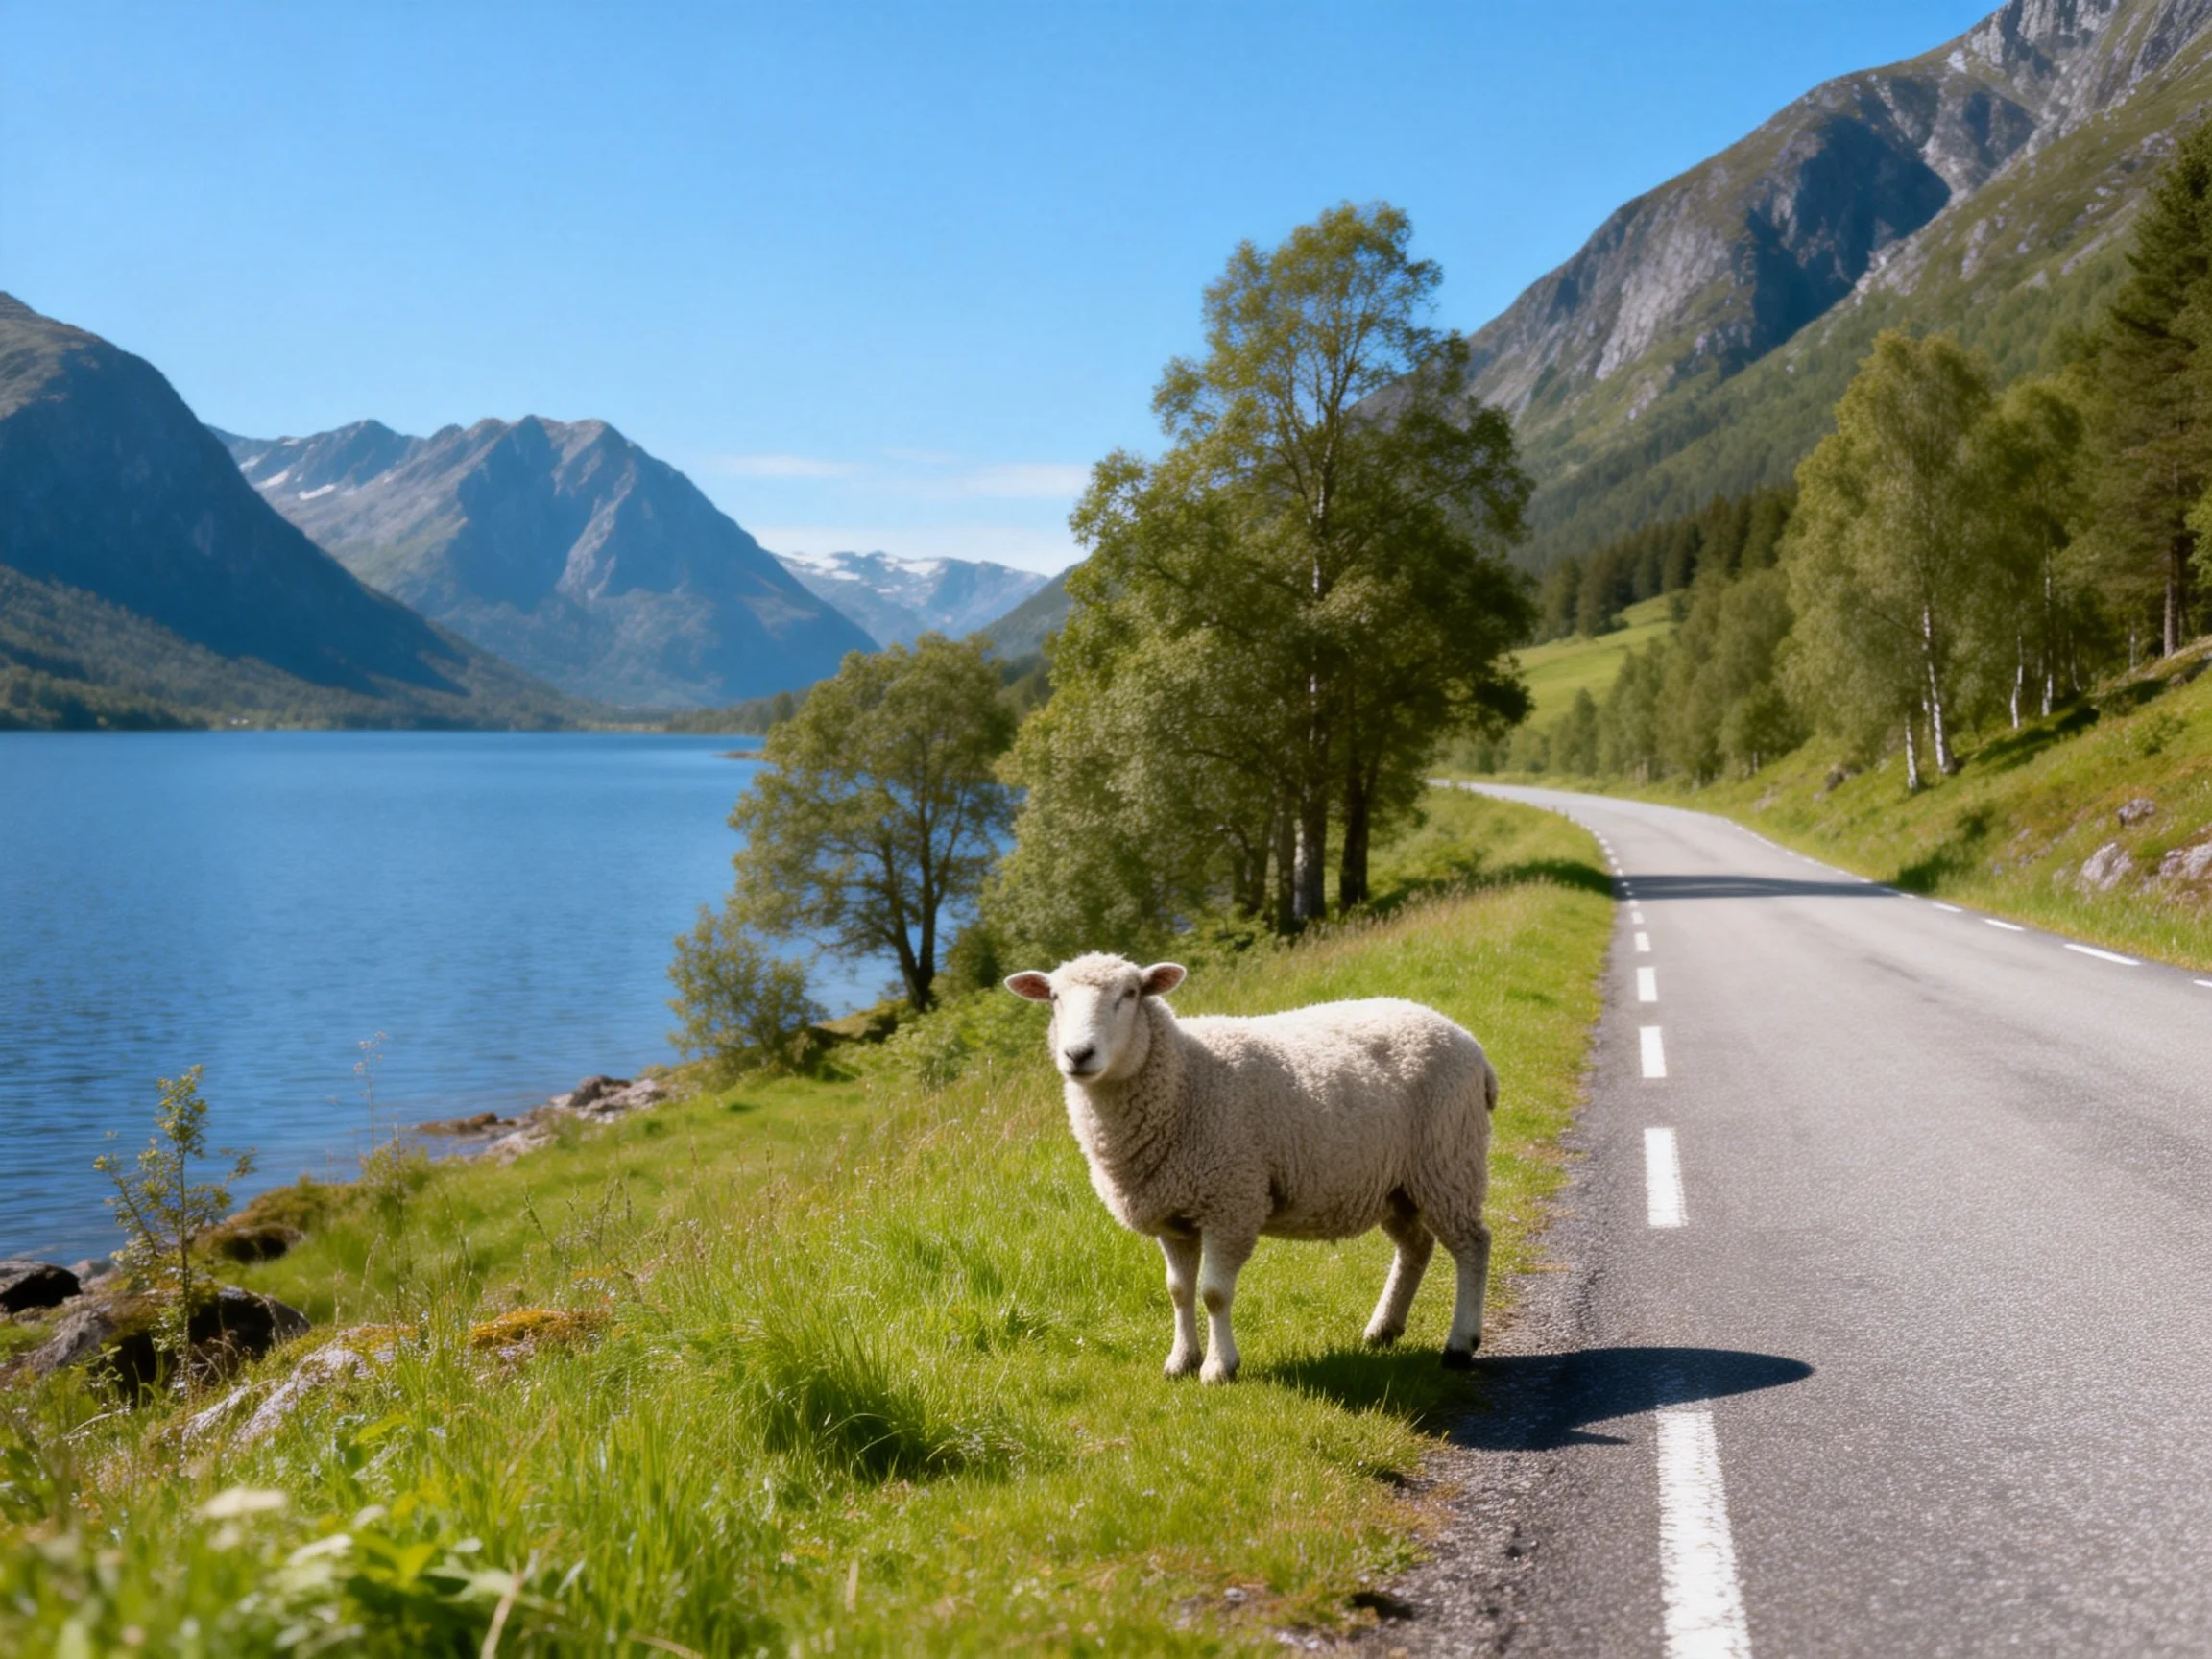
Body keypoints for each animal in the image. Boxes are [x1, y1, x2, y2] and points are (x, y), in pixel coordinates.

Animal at [1005, 953, 1497, 1382]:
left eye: (1129, 994)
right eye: (1054, 997)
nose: (1078, 1054)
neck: (1185, 1079)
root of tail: (1468, 1042)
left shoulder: (1231, 1201)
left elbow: (1213, 1293)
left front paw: (1219, 1367)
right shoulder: (1173, 1214)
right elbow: (1178, 1291)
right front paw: (1181, 1360)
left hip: (1448, 1161)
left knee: (1472, 1245)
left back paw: (1458, 1345)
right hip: (1397, 1184)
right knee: (1416, 1246)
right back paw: (1383, 1329)